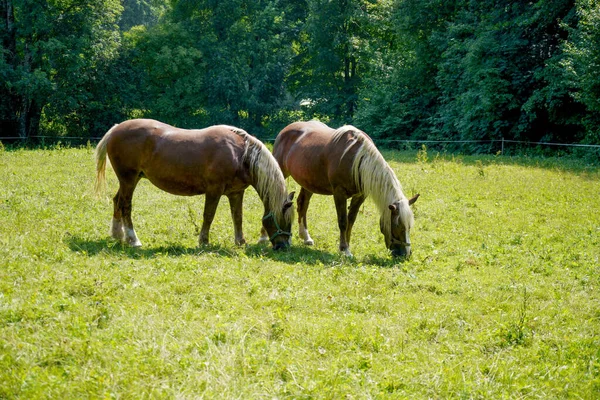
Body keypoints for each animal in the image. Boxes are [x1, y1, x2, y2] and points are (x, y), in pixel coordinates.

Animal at [93, 118, 296, 250]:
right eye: (284, 219)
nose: (283, 246)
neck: (241, 153)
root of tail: (116, 129)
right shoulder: (214, 191)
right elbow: (209, 215)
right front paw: (204, 241)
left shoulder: (236, 193)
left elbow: (237, 217)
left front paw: (240, 242)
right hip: (128, 179)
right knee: (126, 205)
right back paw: (133, 239)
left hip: (129, 180)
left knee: (117, 201)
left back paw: (117, 235)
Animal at [272, 119, 418, 256]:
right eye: (398, 226)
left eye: (410, 226)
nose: (406, 254)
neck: (356, 160)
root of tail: (285, 130)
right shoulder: (339, 193)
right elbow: (343, 221)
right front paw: (344, 249)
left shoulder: (360, 196)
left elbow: (351, 221)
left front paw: (347, 245)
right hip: (281, 172)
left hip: (308, 182)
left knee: (303, 204)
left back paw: (306, 237)